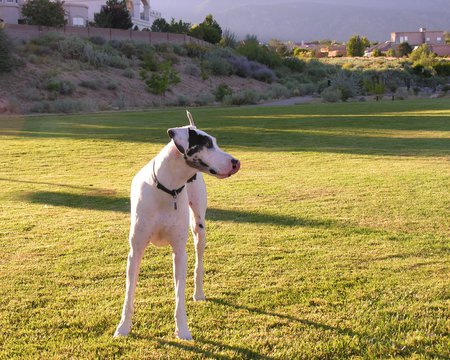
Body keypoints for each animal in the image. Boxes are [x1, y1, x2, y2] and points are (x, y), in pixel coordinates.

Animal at [114, 111, 239, 338]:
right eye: (207, 144)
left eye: (215, 142)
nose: (236, 162)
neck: (168, 188)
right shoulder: (135, 252)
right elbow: (129, 293)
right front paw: (123, 327)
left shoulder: (180, 252)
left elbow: (179, 295)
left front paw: (183, 330)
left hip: (199, 228)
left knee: (199, 264)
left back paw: (198, 293)